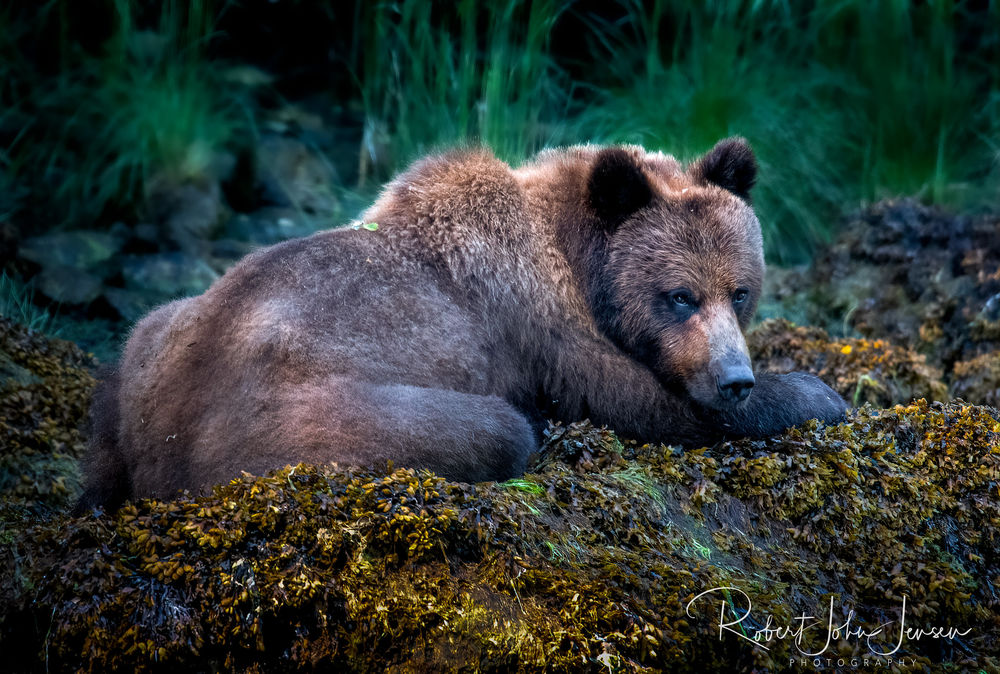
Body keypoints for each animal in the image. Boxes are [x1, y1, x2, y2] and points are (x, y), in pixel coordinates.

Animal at [78, 138, 848, 510]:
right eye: (680, 296)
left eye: (741, 291)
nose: (734, 378)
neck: (574, 255)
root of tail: (157, 445)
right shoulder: (539, 325)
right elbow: (645, 403)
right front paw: (819, 393)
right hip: (297, 415)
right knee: (495, 429)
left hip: (151, 337)